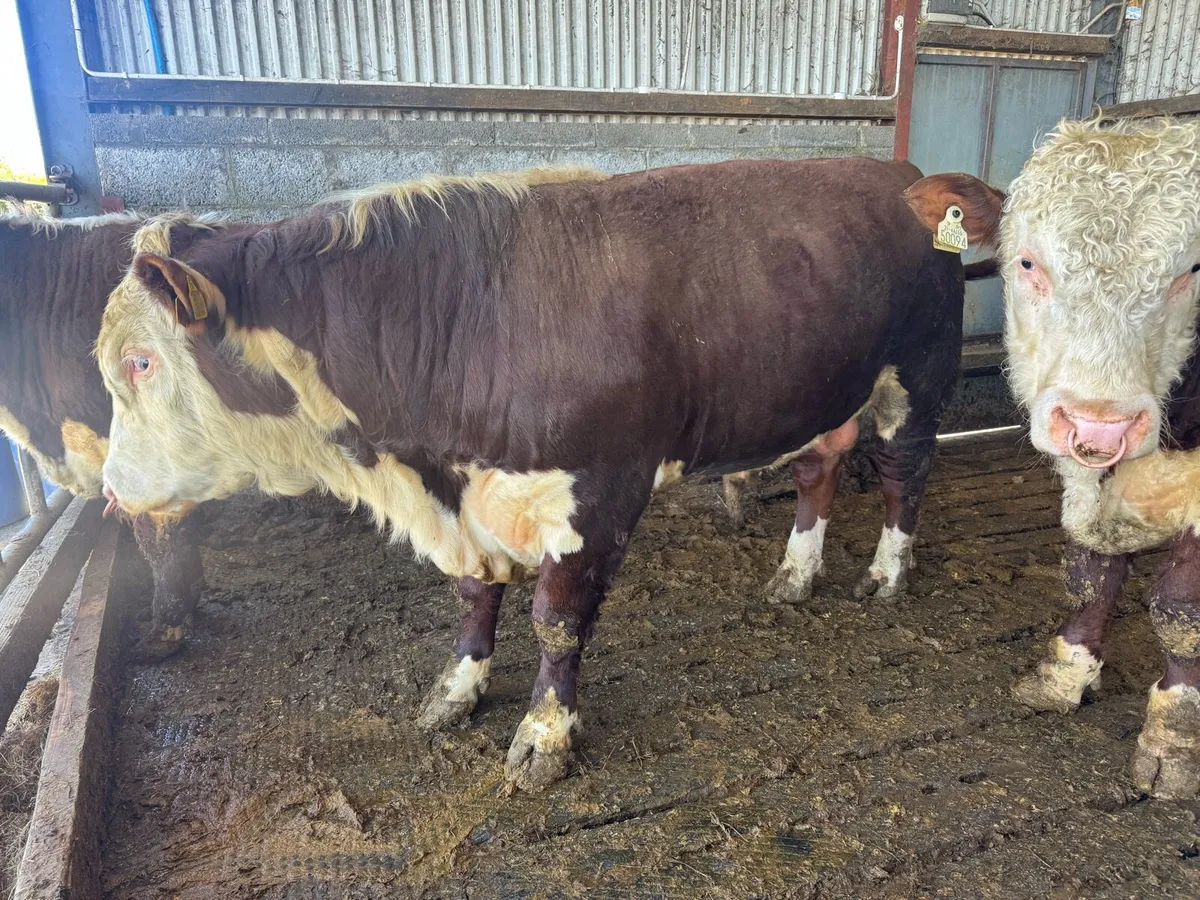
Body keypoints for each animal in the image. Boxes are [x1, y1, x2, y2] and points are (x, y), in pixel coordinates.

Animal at [94, 158, 1004, 791]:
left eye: (141, 361)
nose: (108, 489)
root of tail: (896, 174)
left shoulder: (596, 491)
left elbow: (556, 622)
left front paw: (545, 734)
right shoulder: (466, 496)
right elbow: (474, 595)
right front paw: (457, 689)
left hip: (917, 375)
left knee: (905, 473)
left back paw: (886, 574)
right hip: (820, 391)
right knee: (819, 470)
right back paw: (795, 572)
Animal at [1000, 116, 1200, 798]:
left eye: (1190, 272)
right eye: (1028, 261)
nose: (1099, 423)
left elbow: (1180, 609)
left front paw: (1174, 738)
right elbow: (1090, 575)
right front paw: (1066, 672)